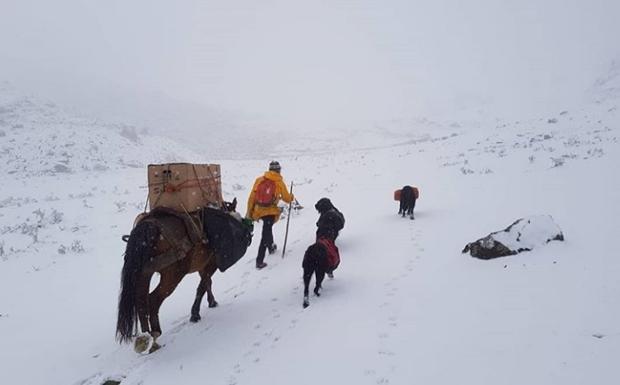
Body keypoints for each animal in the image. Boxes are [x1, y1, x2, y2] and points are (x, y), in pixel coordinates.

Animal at [115, 200, 247, 352]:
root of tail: (150, 226)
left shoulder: (203, 266)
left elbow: (207, 283)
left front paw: (211, 302)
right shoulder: (211, 264)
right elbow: (203, 285)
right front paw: (195, 313)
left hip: (144, 273)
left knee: (141, 300)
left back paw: (145, 337)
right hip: (172, 275)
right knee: (153, 299)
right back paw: (155, 335)